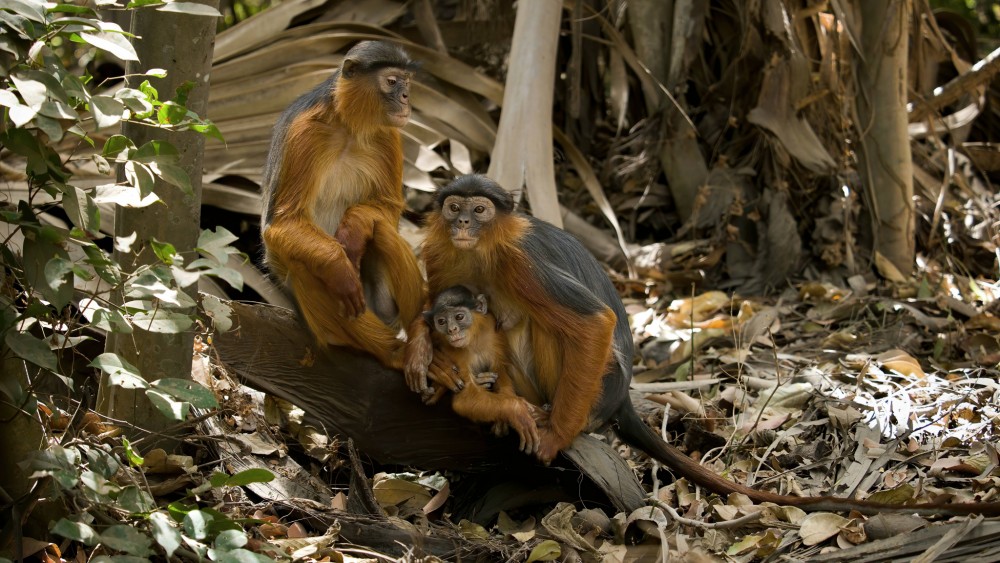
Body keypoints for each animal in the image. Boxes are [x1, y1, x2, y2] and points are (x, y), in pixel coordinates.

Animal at [260, 40, 424, 370]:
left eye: (407, 82)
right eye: (392, 81)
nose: (405, 97)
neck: (350, 128)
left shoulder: (388, 135)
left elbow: (387, 210)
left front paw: (355, 226)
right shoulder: (304, 130)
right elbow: (283, 224)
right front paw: (338, 266)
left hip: (383, 310)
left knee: (382, 229)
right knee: (301, 263)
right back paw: (393, 352)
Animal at [402, 174, 1000, 516]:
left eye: (480, 210)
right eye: (455, 207)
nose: (462, 219)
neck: (478, 250)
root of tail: (620, 399)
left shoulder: (520, 260)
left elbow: (592, 323)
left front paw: (553, 439)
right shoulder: (441, 256)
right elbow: (428, 309)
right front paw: (422, 356)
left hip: (597, 386)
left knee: (544, 325)